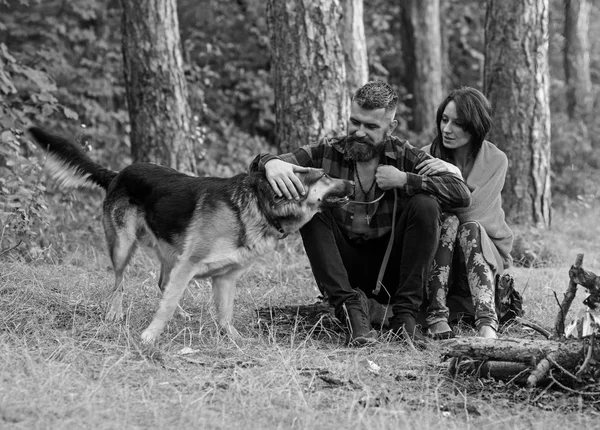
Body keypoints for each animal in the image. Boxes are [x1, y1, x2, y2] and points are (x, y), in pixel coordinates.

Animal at [28, 127, 354, 342]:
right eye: (325, 176)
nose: (352, 183)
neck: (260, 206)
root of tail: (118, 174)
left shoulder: (225, 278)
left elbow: (224, 313)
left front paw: (234, 339)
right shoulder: (189, 264)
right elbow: (168, 304)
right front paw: (150, 336)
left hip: (170, 251)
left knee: (162, 282)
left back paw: (182, 315)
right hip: (123, 246)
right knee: (119, 282)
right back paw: (115, 313)